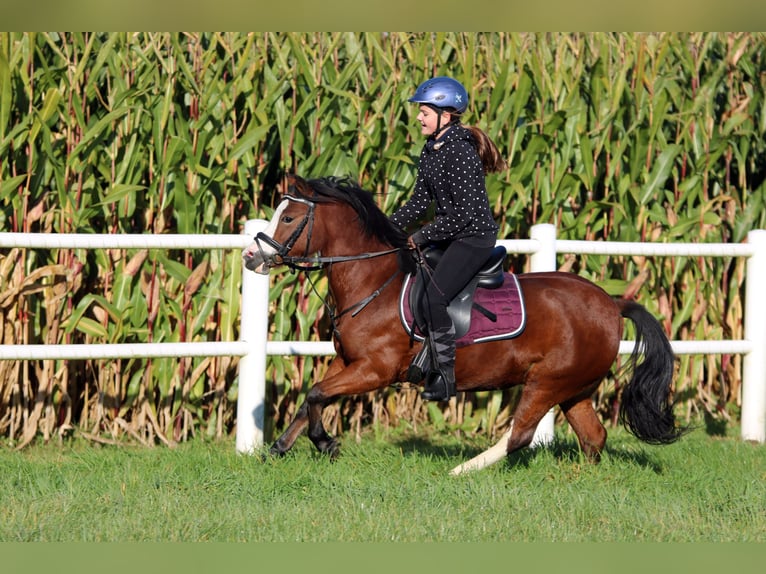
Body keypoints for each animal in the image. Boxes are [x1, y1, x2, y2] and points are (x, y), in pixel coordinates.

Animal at [243, 177, 688, 476]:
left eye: (290, 217)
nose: (250, 257)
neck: (374, 284)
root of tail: (612, 303)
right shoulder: (348, 362)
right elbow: (311, 396)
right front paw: (280, 448)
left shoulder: (375, 370)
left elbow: (316, 394)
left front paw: (324, 443)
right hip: (574, 388)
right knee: (593, 438)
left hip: (546, 382)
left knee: (520, 435)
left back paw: (460, 472)